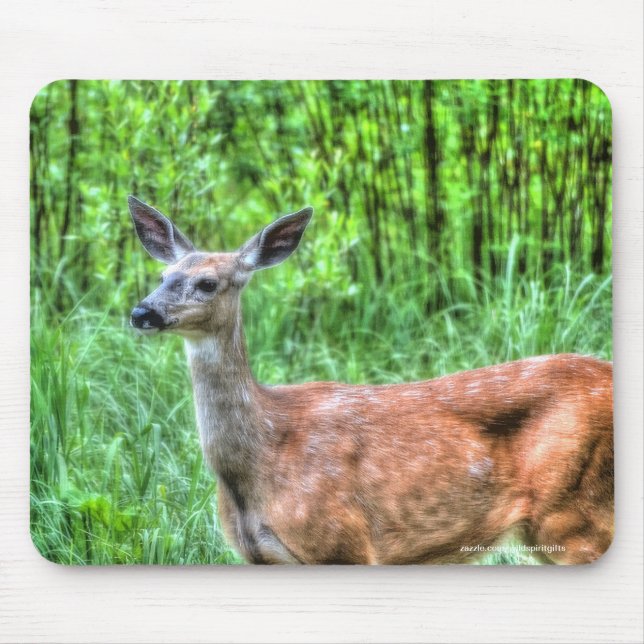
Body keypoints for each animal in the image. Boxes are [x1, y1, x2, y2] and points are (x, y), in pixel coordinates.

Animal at [129, 196, 614, 565]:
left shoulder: (342, 543)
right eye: (162, 276)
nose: (141, 312)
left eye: (208, 283)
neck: (260, 457)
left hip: (576, 514)